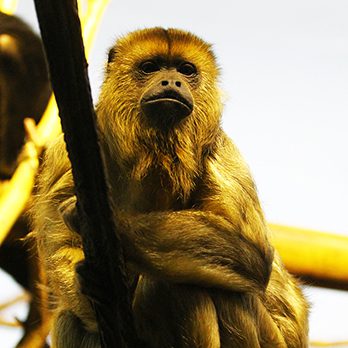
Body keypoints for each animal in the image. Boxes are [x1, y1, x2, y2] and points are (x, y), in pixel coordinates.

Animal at [31, 28, 308, 346]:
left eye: (186, 70)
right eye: (150, 67)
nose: (172, 82)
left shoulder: (219, 148)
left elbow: (254, 252)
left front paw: (115, 227)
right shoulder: (64, 155)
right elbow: (61, 245)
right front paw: (90, 282)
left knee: (187, 285)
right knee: (70, 318)